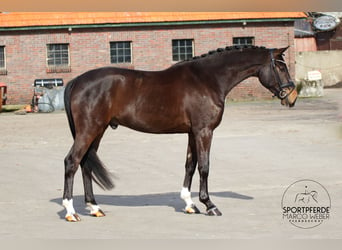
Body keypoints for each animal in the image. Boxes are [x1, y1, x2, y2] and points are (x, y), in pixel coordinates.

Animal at [62, 45, 298, 221]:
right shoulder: (204, 131)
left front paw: (190, 203)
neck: (208, 79)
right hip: (89, 130)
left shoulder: (192, 133)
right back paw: (71, 212)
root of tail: (76, 81)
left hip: (98, 131)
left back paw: (94, 207)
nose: (292, 96)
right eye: (280, 67)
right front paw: (210, 205)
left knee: (85, 164)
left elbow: (190, 166)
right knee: (72, 161)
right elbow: (204, 167)